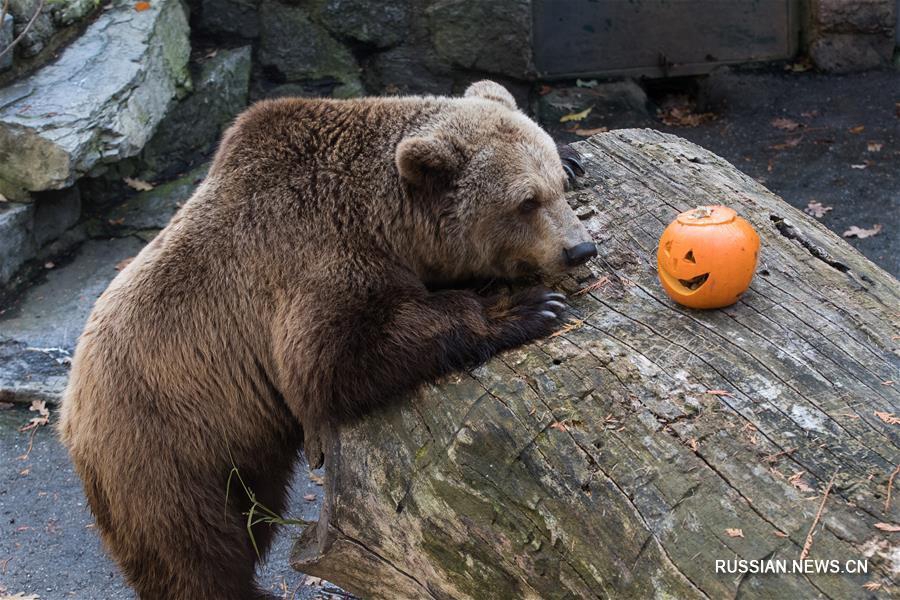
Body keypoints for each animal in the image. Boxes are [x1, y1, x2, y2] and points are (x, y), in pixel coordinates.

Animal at [58, 81, 596, 600]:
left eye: (554, 185)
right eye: (525, 201)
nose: (580, 248)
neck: (385, 221)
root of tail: (70, 411)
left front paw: (574, 153)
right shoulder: (309, 257)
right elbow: (334, 360)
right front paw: (526, 307)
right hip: (165, 442)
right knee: (195, 547)